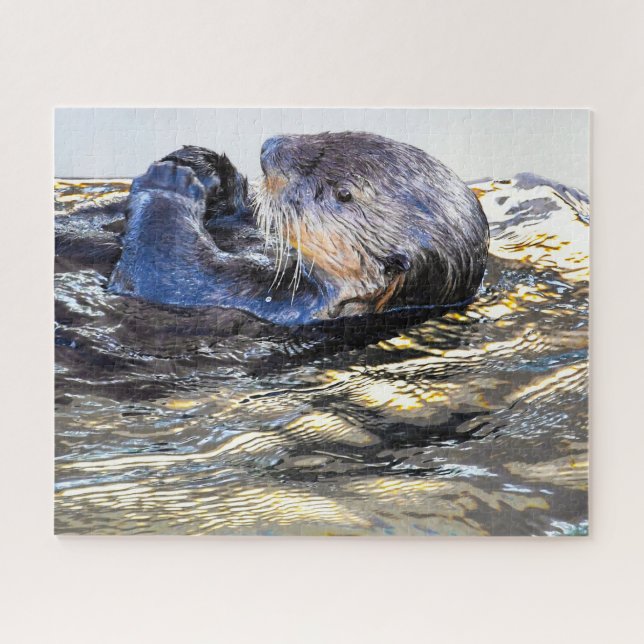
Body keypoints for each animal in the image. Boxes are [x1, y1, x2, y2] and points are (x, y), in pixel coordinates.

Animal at [58, 132, 489, 326]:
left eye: (343, 193)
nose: (269, 147)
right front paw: (205, 164)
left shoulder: (268, 300)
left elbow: (165, 271)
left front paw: (171, 180)